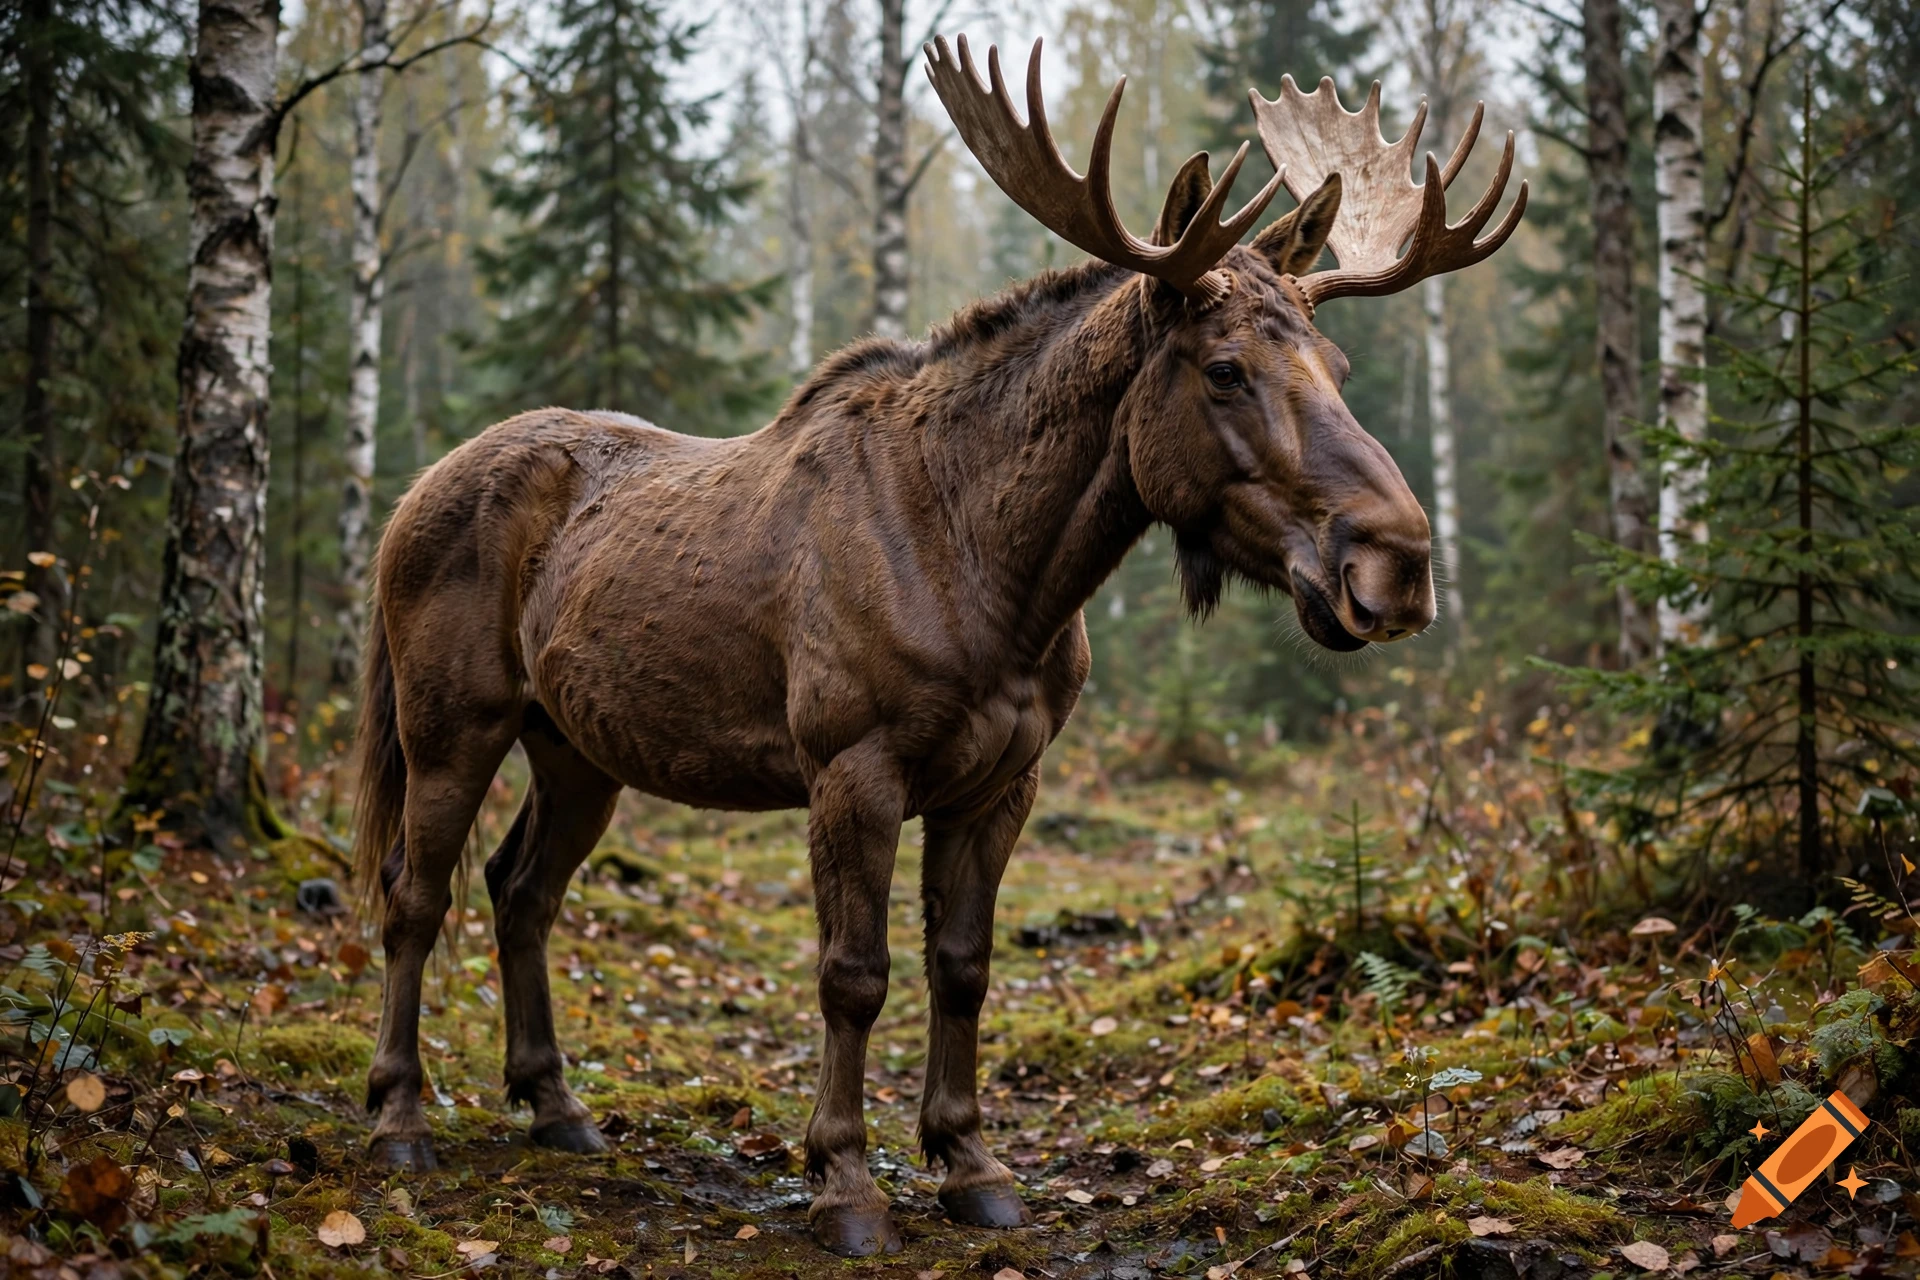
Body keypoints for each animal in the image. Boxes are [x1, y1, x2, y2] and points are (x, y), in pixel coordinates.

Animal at [350, 34, 1525, 1257]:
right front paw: (845, 1178)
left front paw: (969, 1161)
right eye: (1225, 369)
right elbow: (854, 976)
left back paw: (555, 1102)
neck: (1008, 583)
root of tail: (407, 497)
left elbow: (963, 967)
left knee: (520, 889)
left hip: (577, 748)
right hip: (449, 721)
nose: (1398, 562)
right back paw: (399, 1117)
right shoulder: (851, 765)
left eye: (1336, 366)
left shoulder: (1005, 778)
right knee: (411, 892)